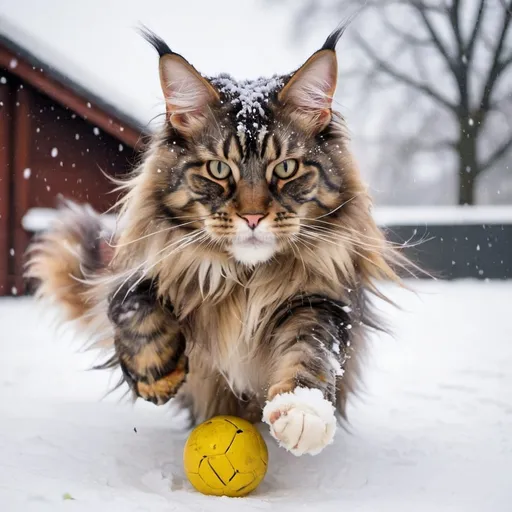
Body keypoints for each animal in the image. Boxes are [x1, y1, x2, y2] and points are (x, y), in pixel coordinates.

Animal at [27, 25, 404, 456]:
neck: (244, 281)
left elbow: (311, 350)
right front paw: (157, 376)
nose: (253, 217)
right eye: (219, 169)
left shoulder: (321, 300)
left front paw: (302, 412)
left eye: (286, 168)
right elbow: (135, 305)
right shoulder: (139, 269)